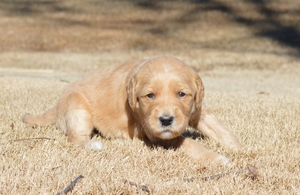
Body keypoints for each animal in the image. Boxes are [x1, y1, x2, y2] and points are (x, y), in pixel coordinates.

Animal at [23, 55, 244, 164]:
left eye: (182, 94)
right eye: (150, 96)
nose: (166, 120)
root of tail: (56, 105)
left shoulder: (199, 110)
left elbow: (221, 130)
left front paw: (238, 148)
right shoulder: (156, 134)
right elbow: (189, 143)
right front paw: (217, 158)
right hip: (78, 109)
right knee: (74, 138)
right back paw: (92, 145)